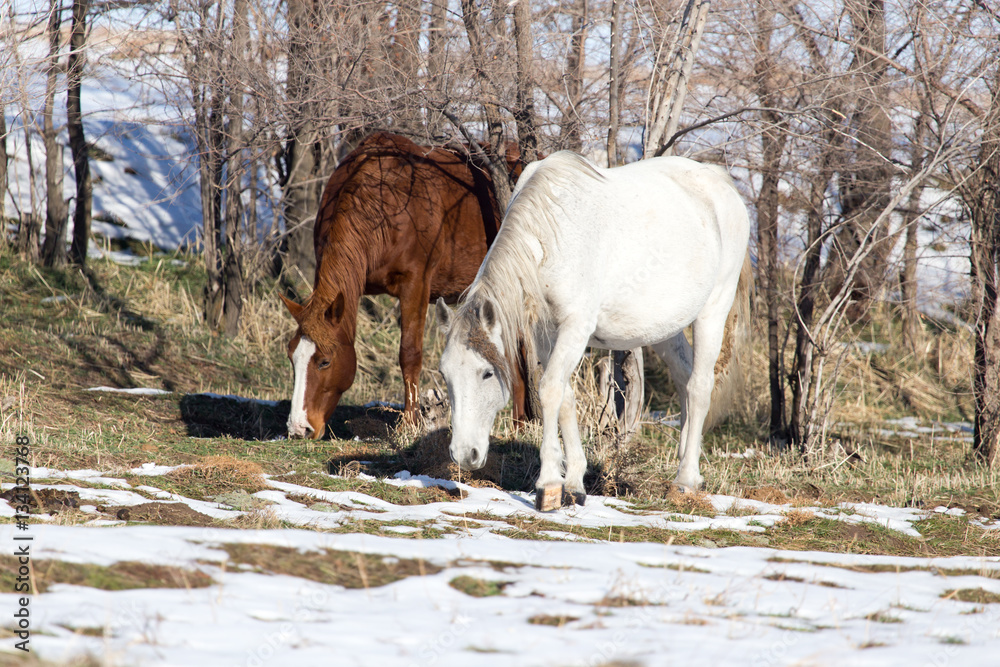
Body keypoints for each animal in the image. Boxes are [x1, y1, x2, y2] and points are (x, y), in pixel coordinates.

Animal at [281, 131, 533, 439]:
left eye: (324, 361)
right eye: (292, 357)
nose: (298, 428)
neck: (383, 204)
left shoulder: (415, 286)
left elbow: (409, 354)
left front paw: (410, 423)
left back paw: (521, 425)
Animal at [436, 151, 752, 511]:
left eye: (487, 373)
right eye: (445, 374)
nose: (464, 454)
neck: (550, 238)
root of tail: (719, 181)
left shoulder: (575, 327)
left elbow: (549, 391)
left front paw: (548, 485)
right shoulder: (546, 334)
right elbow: (565, 398)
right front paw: (574, 484)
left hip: (713, 310)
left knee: (699, 387)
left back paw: (684, 481)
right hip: (665, 329)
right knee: (684, 379)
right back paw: (691, 470)